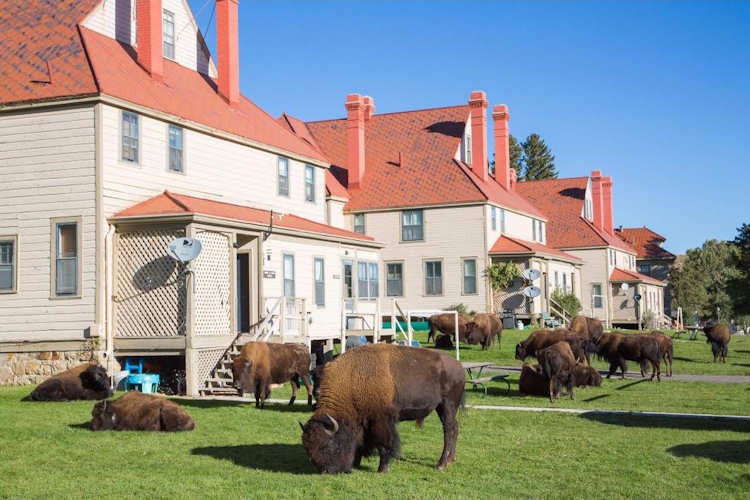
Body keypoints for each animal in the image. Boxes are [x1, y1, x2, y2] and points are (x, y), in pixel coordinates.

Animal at [300, 344, 464, 472]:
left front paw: (382, 469)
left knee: (449, 431)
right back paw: (451, 460)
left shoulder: (381, 421)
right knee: (455, 429)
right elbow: (362, 440)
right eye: (307, 448)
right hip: (442, 408)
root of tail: (459, 366)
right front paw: (357, 463)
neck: (352, 380)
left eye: (326, 444)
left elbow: (383, 443)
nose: (324, 470)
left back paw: (441, 464)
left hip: (448, 405)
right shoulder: (363, 420)